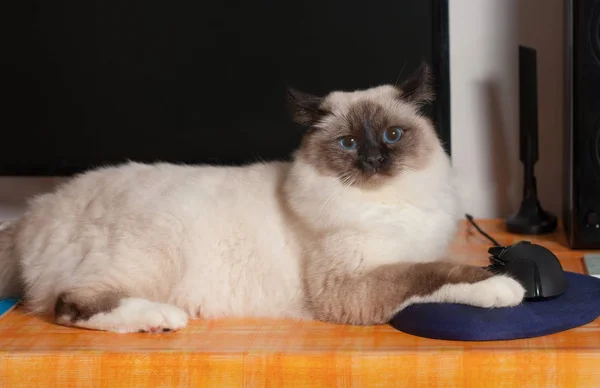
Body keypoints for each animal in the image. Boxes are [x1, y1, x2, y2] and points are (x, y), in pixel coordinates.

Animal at [0, 63, 524, 334]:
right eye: (348, 143)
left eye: (393, 136)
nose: (374, 161)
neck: (387, 202)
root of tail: (36, 212)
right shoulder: (352, 285)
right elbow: (435, 273)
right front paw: (506, 288)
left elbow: (435, 265)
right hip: (153, 247)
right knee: (71, 304)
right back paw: (162, 319)